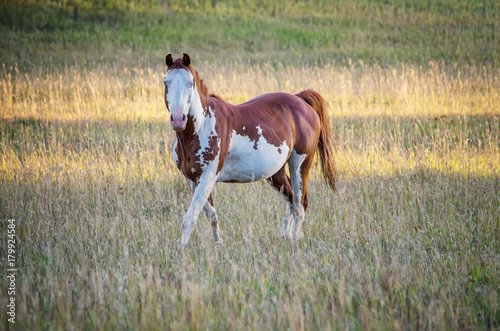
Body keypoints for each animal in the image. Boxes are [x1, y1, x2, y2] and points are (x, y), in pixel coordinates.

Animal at [163, 53, 336, 246]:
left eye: (190, 83)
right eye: (165, 82)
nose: (178, 119)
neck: (202, 126)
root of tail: (300, 99)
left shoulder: (207, 177)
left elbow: (190, 218)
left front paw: (182, 249)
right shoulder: (191, 180)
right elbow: (211, 216)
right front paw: (218, 245)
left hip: (300, 165)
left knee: (300, 204)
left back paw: (295, 239)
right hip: (276, 173)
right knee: (291, 200)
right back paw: (285, 236)